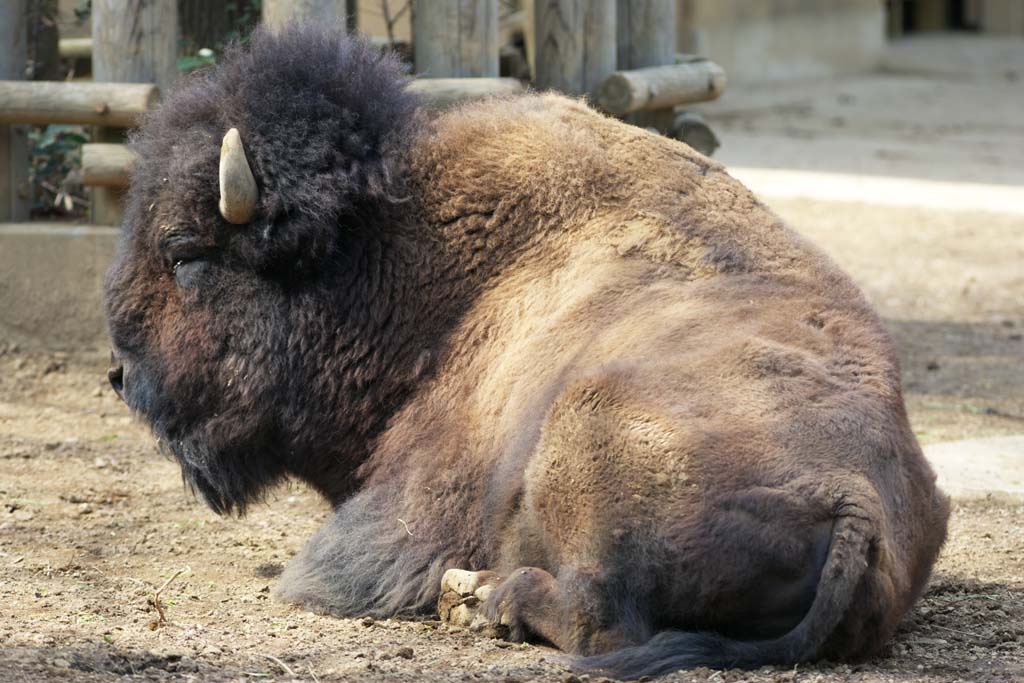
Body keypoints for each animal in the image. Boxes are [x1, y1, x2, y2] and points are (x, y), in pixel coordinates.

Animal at [105, 25, 950, 679]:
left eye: (184, 252)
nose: (120, 373)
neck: (400, 249)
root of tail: (854, 499)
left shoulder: (422, 490)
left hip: (582, 419)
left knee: (599, 617)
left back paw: (481, 598)